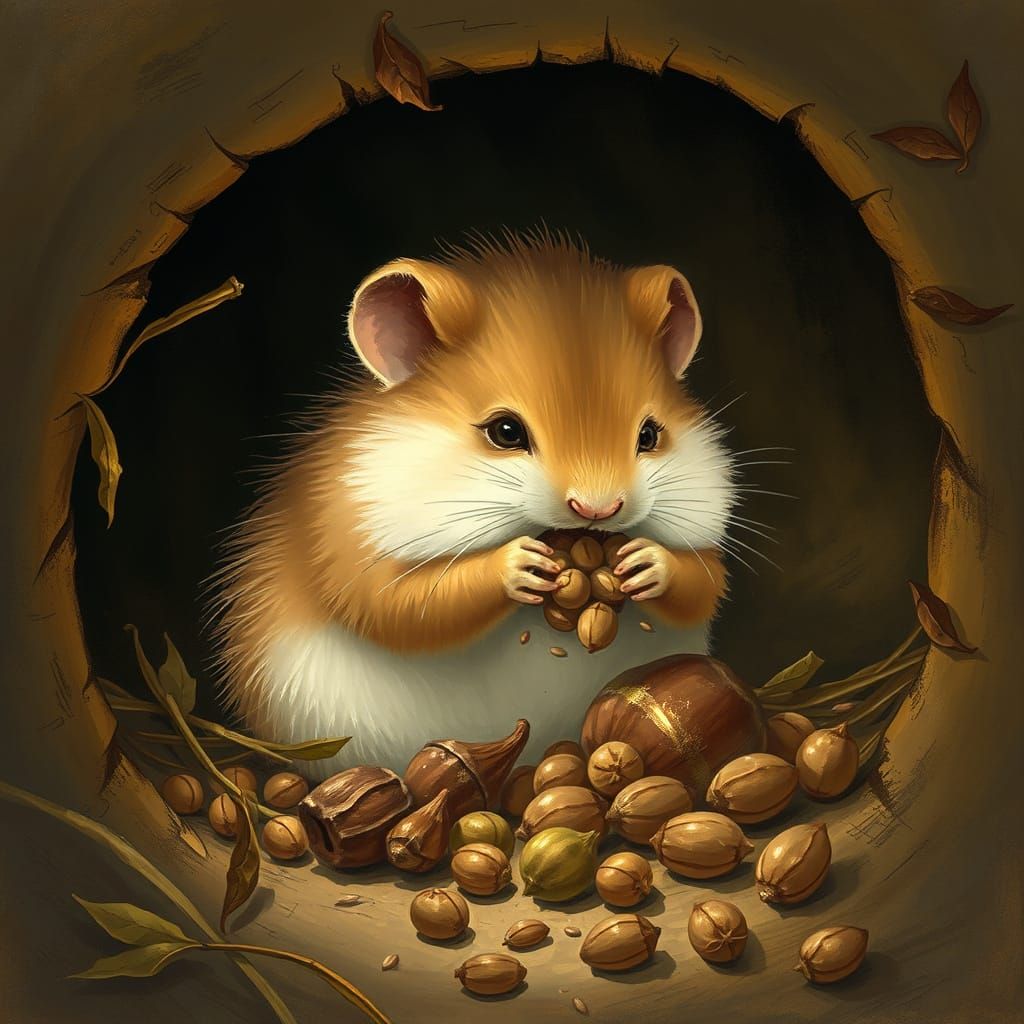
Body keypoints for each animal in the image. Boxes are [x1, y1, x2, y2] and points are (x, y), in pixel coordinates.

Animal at [208, 231, 737, 779]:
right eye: (505, 431)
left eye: (650, 435)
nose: (598, 509)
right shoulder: (348, 539)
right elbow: (402, 605)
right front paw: (521, 565)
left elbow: (704, 578)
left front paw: (645, 562)